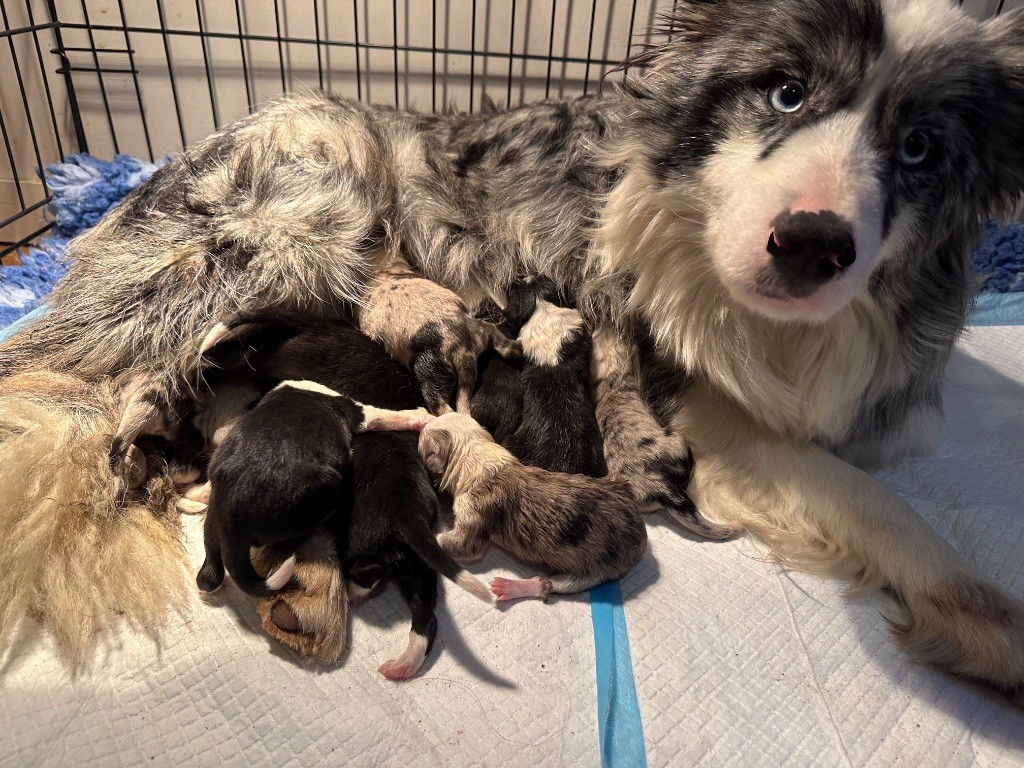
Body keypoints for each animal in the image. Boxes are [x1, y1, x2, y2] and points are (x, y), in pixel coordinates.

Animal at [196, 382, 432, 598]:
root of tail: (231, 517)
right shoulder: (360, 412)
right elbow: (386, 415)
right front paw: (422, 416)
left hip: (212, 527)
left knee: (209, 572)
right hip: (320, 500)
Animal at [356, 260, 524, 417]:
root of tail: (461, 348)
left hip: (430, 369)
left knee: (440, 405)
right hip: (480, 330)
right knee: (501, 341)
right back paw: (517, 346)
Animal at [417, 411, 647, 606]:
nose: (423, 422)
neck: (474, 454)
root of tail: (641, 534)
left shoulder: (471, 518)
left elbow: (462, 544)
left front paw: (434, 537)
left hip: (599, 569)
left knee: (551, 585)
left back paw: (509, 587)